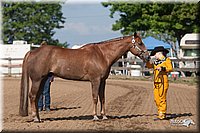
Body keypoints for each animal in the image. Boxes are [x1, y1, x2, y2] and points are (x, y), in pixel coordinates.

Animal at [19, 32, 149, 121]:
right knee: (32, 96)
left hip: (43, 80)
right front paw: (95, 116)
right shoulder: (95, 80)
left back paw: (39, 118)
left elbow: (102, 98)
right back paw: (35, 118)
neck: (102, 54)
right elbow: (95, 97)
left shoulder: (103, 81)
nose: (148, 56)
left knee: (36, 97)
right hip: (37, 80)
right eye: (140, 43)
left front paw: (104, 116)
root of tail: (32, 52)